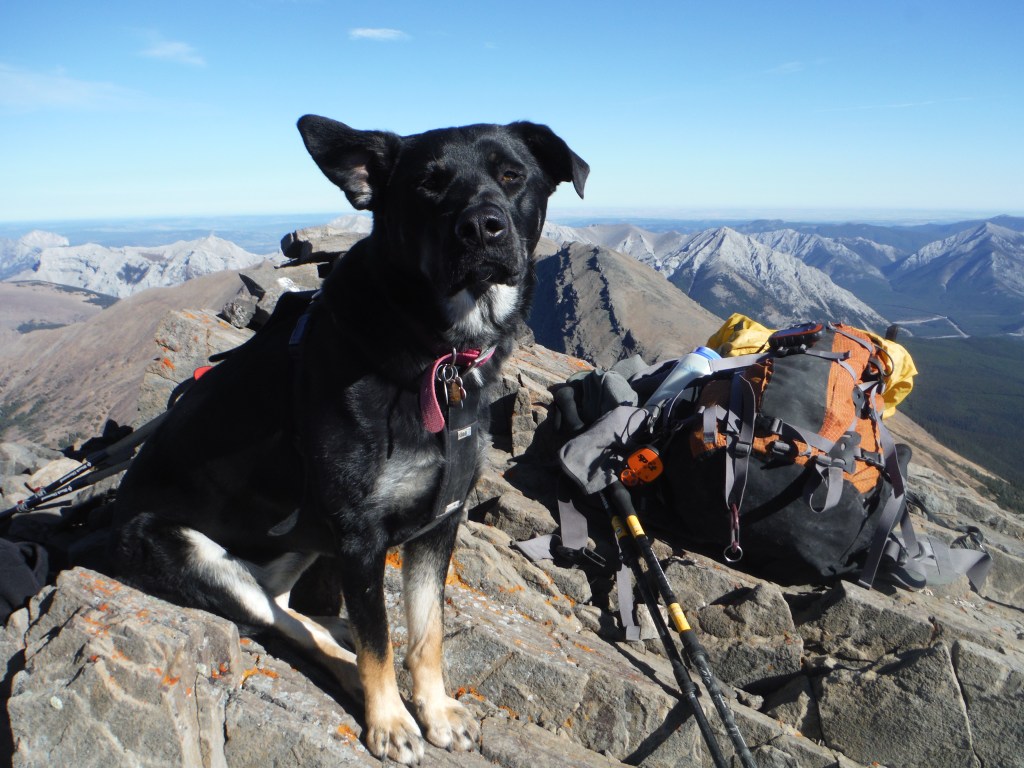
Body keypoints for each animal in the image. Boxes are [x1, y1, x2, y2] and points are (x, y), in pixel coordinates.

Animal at [111, 115, 588, 763]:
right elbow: (380, 642)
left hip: (301, 537)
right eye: (430, 184)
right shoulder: (361, 535)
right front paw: (390, 722)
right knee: (288, 623)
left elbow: (426, 633)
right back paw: (349, 668)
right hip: (190, 551)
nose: (481, 226)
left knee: (284, 598)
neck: (438, 355)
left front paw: (435, 710)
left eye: (512, 175)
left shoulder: (439, 522)